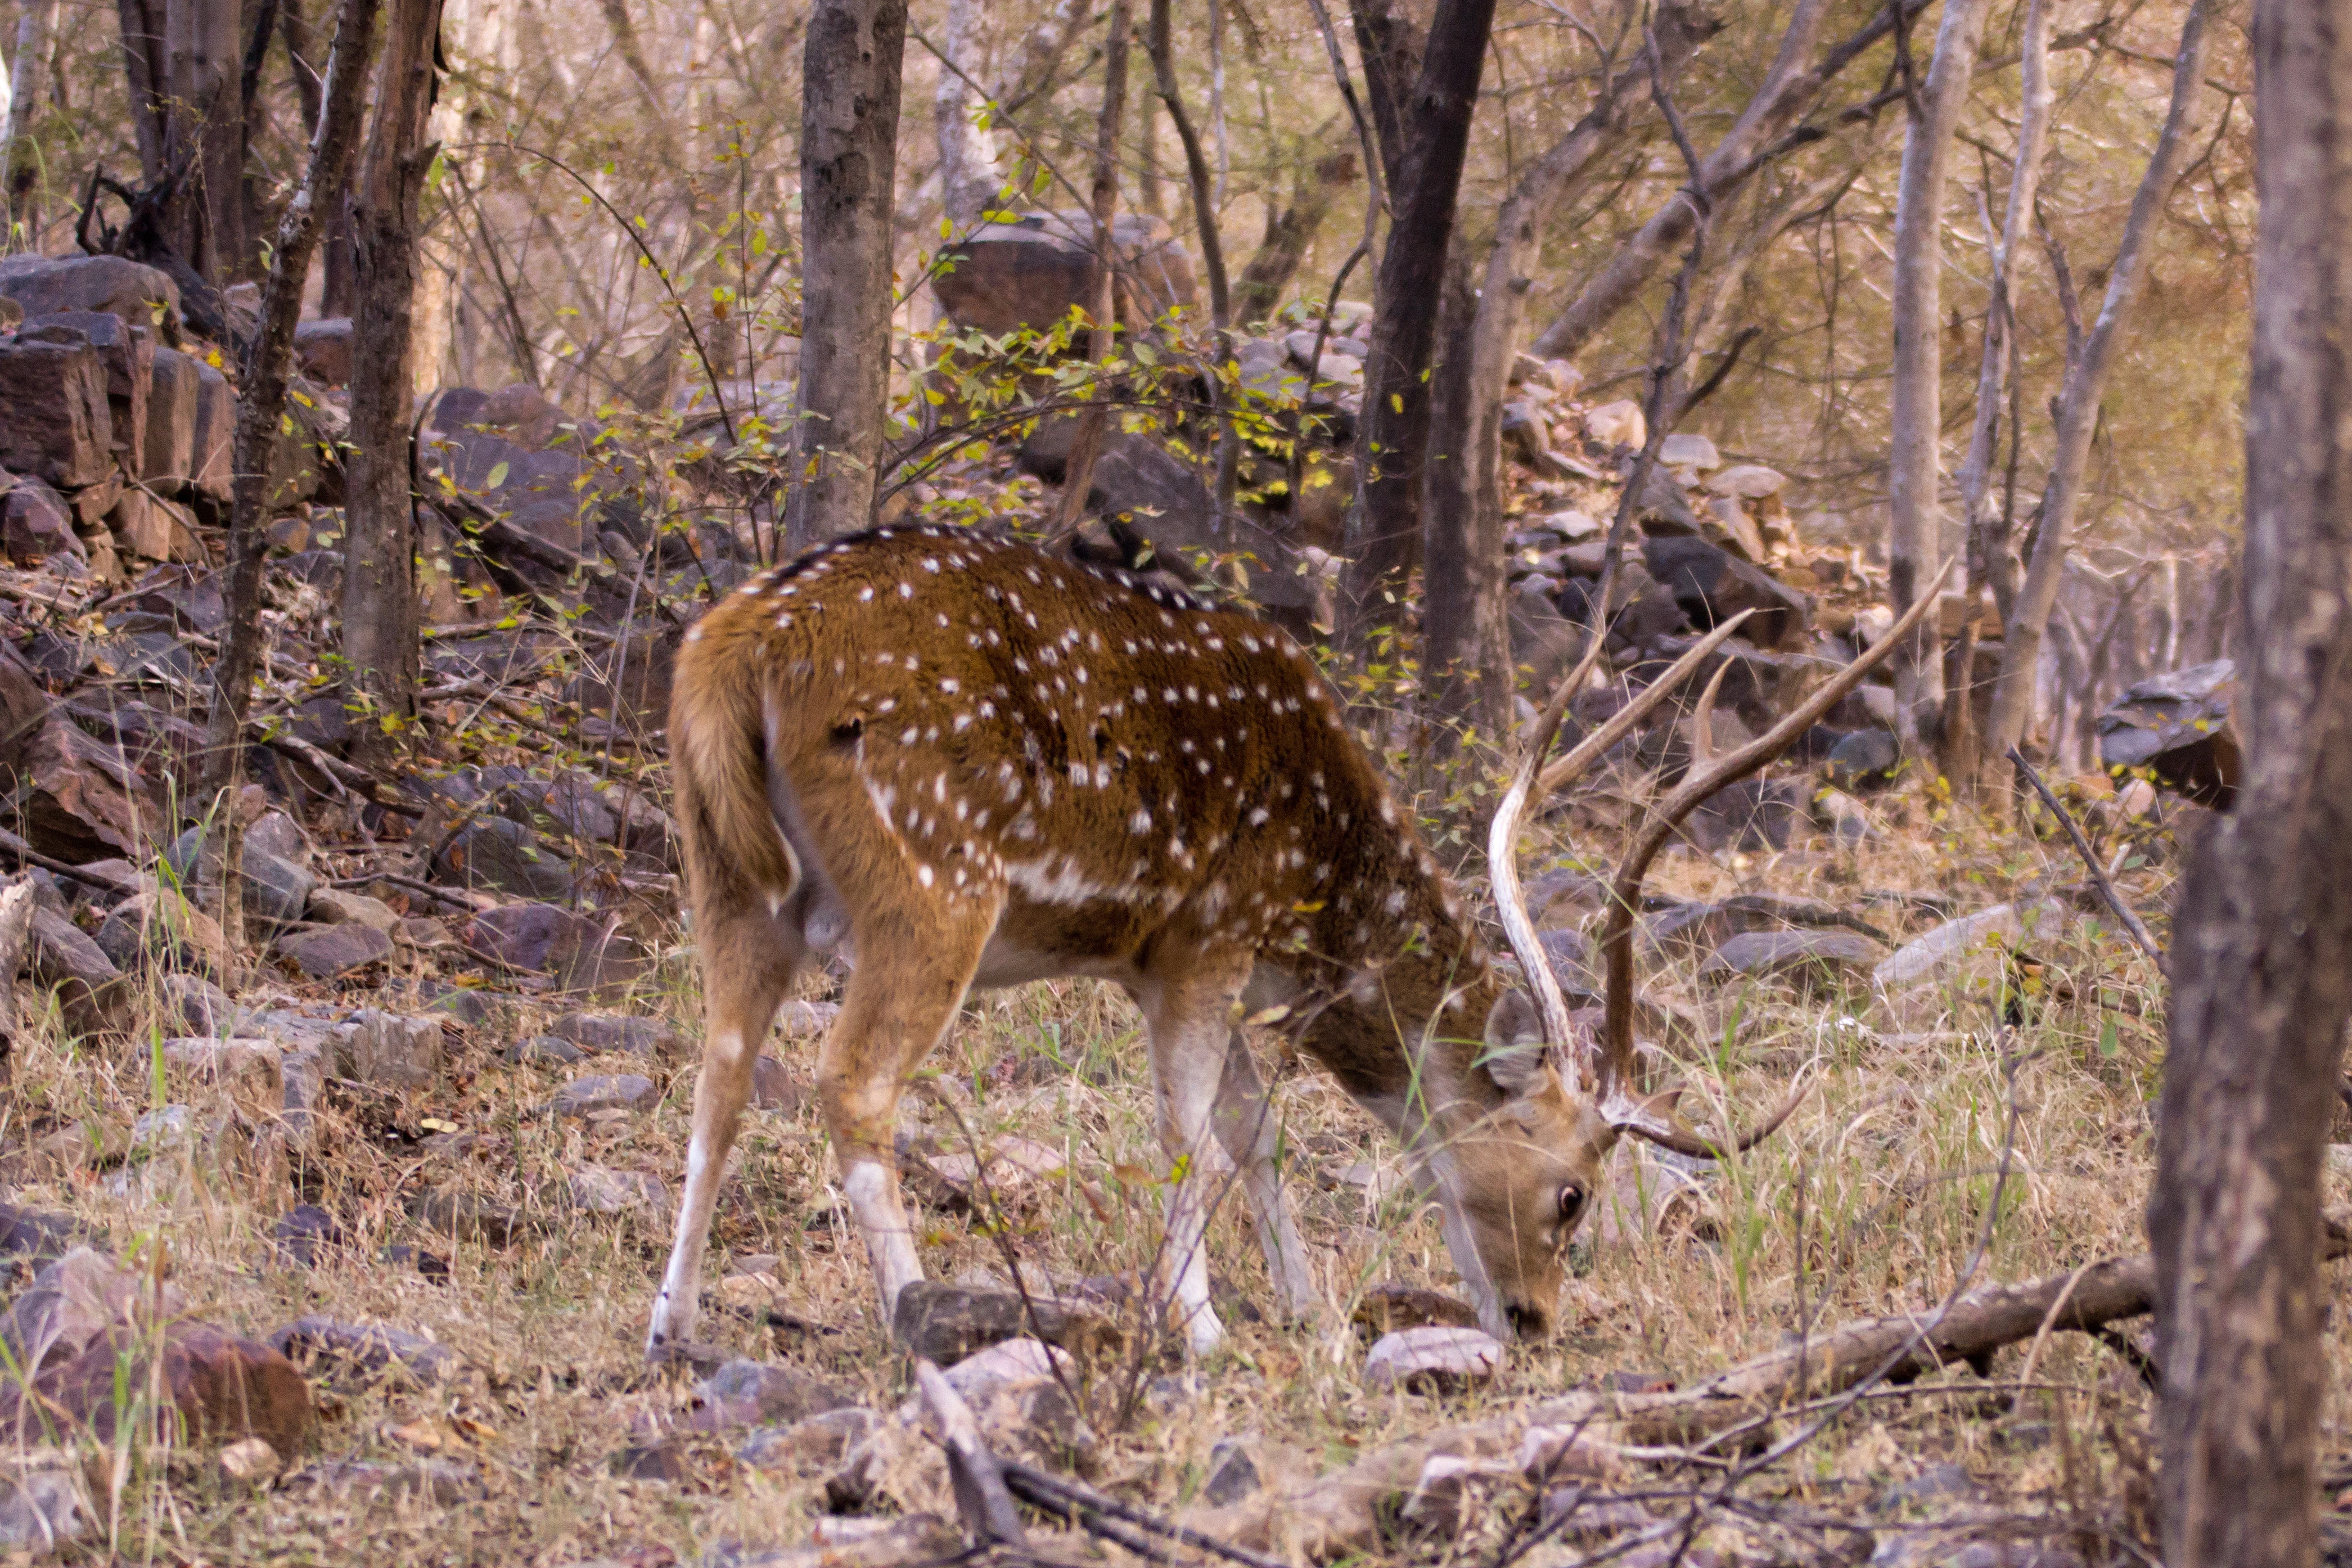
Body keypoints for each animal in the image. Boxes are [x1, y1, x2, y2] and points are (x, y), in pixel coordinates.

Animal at [645, 521, 1948, 1360]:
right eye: (1574, 1194)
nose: (1534, 1322)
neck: (1327, 888)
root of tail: (732, 645)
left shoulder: (1169, 966)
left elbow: (1251, 1131)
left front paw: (1310, 1311)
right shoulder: (1205, 936)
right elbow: (1190, 1137)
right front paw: (1207, 1329)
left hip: (730, 881)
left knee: (718, 1071)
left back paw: (675, 1324)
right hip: (931, 883)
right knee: (851, 1082)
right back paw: (916, 1322)